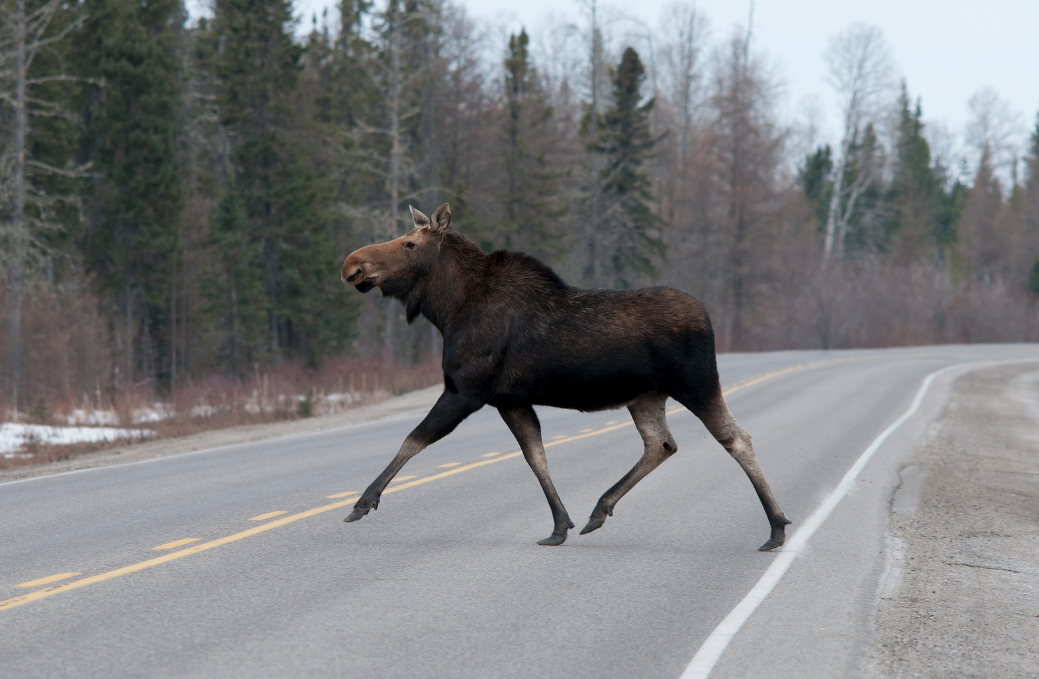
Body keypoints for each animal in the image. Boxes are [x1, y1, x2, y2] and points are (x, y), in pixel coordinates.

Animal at [338, 204, 785, 552]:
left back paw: (776, 527)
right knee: (661, 444)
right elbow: (536, 456)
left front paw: (362, 503)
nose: (351, 265)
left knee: (735, 438)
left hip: (697, 384)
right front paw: (559, 525)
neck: (447, 311)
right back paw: (599, 509)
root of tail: (708, 317)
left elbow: (414, 439)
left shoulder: (466, 390)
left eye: (409, 244)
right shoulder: (511, 399)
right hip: (646, 396)